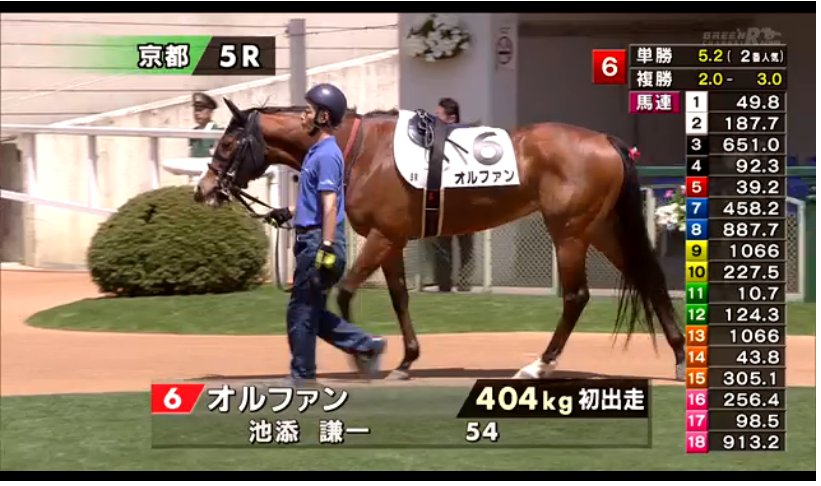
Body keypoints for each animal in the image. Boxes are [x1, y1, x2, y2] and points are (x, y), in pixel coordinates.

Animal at [194, 99, 686, 382]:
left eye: (226, 145)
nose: (204, 190)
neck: (359, 149)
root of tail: (607, 140)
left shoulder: (382, 236)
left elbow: (347, 289)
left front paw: (363, 355)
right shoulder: (392, 240)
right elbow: (398, 298)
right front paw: (406, 360)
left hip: (569, 231)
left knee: (577, 296)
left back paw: (539, 364)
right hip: (598, 228)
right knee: (650, 278)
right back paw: (680, 357)